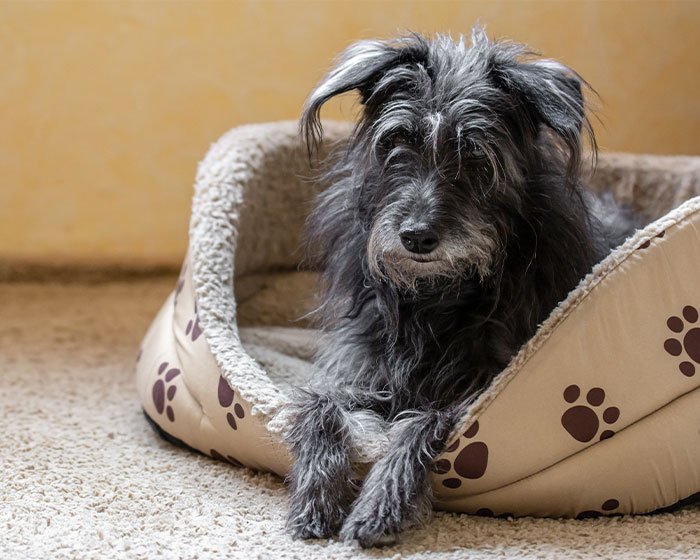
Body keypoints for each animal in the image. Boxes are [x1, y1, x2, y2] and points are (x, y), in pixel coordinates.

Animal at [282, 26, 636, 548]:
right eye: (397, 142)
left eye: (475, 154)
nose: (415, 237)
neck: (436, 293)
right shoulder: (356, 369)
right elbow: (317, 405)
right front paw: (314, 496)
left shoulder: (474, 391)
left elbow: (420, 424)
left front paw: (379, 504)